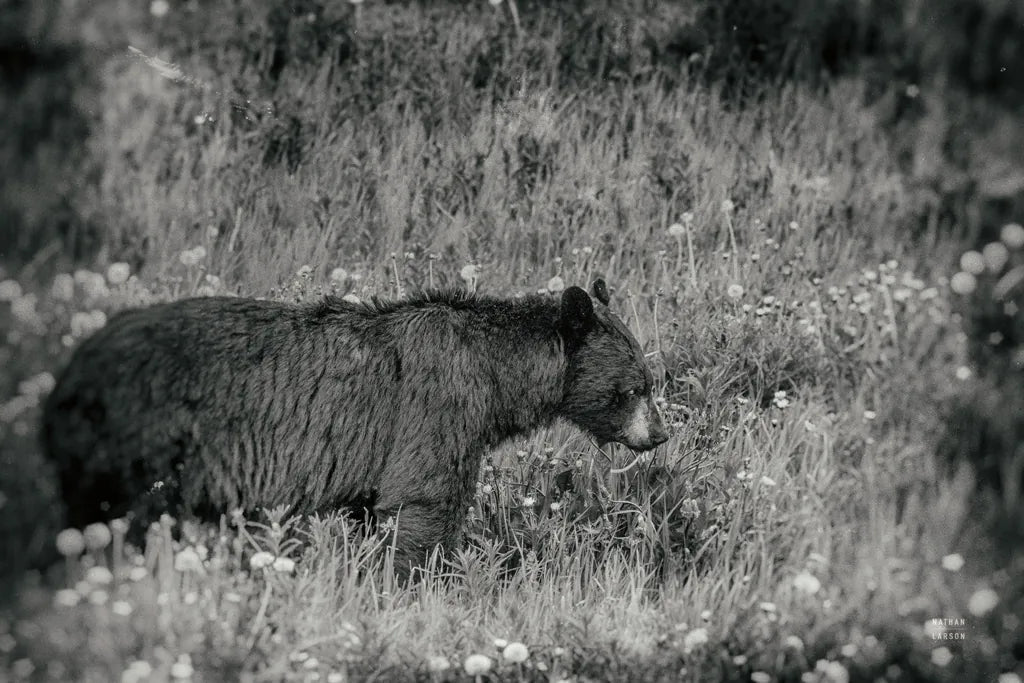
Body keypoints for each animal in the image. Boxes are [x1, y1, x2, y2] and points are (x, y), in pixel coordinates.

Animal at [42, 278, 669, 578]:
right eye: (635, 387)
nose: (659, 436)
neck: (496, 376)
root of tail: (70, 370)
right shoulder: (437, 410)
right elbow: (424, 504)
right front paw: (422, 585)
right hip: (140, 445)